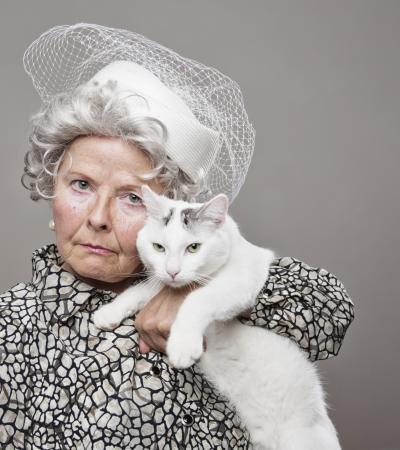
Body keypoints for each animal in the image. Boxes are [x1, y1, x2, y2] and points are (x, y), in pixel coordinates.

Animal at [93, 185, 340, 448]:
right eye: (158, 247)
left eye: (193, 247)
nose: (173, 271)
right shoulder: (163, 283)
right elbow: (143, 289)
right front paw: (109, 311)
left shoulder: (238, 282)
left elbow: (195, 300)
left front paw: (182, 346)